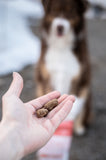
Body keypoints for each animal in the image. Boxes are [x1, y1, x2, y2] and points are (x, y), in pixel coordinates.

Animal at [35, 0, 91, 136]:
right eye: (54, 11)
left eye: (71, 13)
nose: (60, 27)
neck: (61, 47)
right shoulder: (47, 76)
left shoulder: (79, 77)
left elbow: (76, 103)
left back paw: (79, 128)